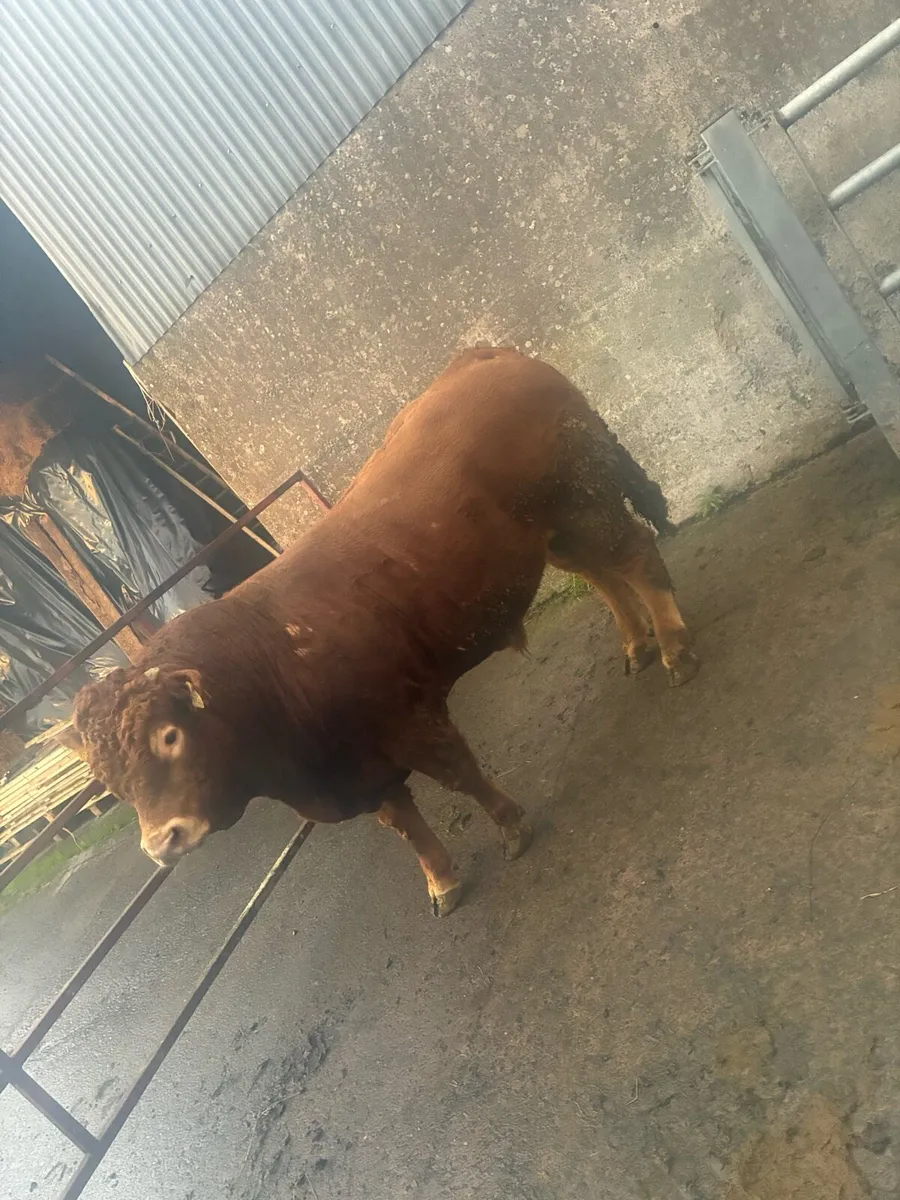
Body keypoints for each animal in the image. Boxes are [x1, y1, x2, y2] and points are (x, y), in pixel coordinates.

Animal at [71, 348, 697, 915]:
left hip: (584, 500)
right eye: (111, 782)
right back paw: (637, 646)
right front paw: (441, 881)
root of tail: (484, 358)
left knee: (636, 557)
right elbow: (405, 824)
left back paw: (675, 652)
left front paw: (512, 826)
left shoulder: (409, 721)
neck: (265, 663)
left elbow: (460, 776)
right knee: (602, 575)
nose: (162, 842)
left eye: (169, 736)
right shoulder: (360, 765)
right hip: (554, 532)